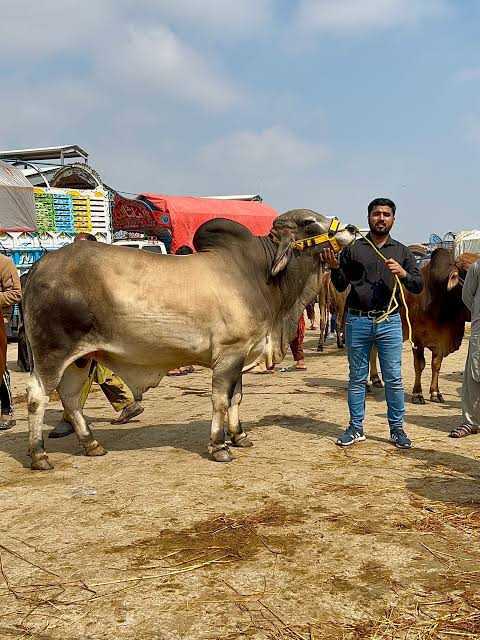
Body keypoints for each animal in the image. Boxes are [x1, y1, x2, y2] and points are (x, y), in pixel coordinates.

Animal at [23, 210, 355, 470]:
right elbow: (220, 400)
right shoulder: (228, 355)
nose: (351, 229)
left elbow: (236, 398)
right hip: (52, 353)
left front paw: (240, 436)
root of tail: (39, 265)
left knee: (69, 397)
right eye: (309, 222)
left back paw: (91, 444)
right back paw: (39, 455)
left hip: (81, 358)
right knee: (38, 397)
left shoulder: (242, 353)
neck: (260, 275)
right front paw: (219, 446)